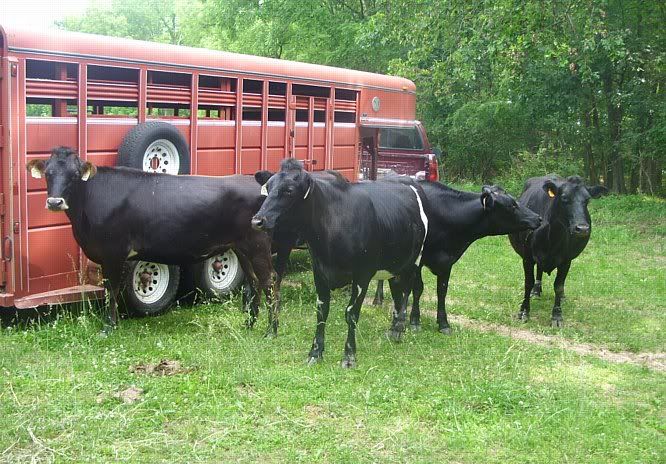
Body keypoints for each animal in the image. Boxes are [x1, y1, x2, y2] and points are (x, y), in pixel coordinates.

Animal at [27, 147, 276, 335]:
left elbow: (111, 290)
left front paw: (108, 327)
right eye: (48, 173)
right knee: (254, 282)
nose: (55, 202)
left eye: (74, 174)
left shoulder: (113, 252)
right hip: (242, 248)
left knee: (269, 282)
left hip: (257, 245)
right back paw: (249, 324)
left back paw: (271, 331)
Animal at [251, 159, 429, 368]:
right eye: (268, 187)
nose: (257, 221)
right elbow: (321, 311)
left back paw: (402, 325)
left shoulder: (362, 274)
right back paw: (393, 329)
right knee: (396, 289)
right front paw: (315, 352)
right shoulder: (319, 270)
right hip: (394, 263)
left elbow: (351, 313)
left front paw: (349, 356)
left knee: (409, 288)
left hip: (415, 259)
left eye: (289, 190)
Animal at [373, 182, 542, 333]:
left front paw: (443, 323)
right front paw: (415, 321)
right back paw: (378, 299)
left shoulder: (447, 261)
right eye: (511, 205)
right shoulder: (419, 262)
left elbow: (442, 291)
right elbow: (418, 288)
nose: (538, 218)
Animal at [509, 175, 608, 327]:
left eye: (587, 200)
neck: (551, 238)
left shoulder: (566, 260)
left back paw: (560, 297)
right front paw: (524, 312)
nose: (582, 229)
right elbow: (528, 283)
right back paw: (536, 291)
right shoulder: (527, 257)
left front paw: (557, 316)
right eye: (564, 198)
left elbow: (558, 286)